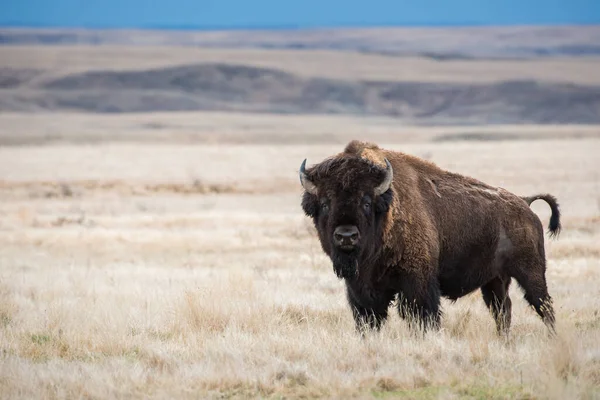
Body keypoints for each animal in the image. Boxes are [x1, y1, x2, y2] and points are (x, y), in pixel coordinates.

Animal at [302, 141, 560, 334]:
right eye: (325, 203)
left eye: (366, 202)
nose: (346, 235)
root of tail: (524, 203)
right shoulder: (361, 289)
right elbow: (368, 317)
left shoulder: (418, 283)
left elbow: (421, 315)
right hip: (495, 280)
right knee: (503, 309)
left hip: (531, 272)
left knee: (543, 305)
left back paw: (552, 338)